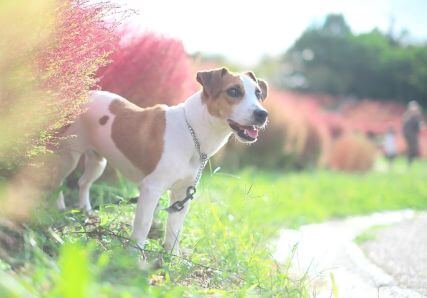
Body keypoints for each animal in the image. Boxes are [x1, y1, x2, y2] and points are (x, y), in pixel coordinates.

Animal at [55, 67, 270, 251]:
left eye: (258, 94)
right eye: (233, 91)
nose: (262, 114)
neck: (192, 131)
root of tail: (83, 95)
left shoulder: (182, 194)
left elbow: (175, 229)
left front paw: (171, 257)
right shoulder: (151, 189)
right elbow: (144, 224)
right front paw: (135, 256)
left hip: (98, 162)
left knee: (83, 182)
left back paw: (86, 211)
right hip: (68, 156)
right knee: (58, 181)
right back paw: (59, 208)